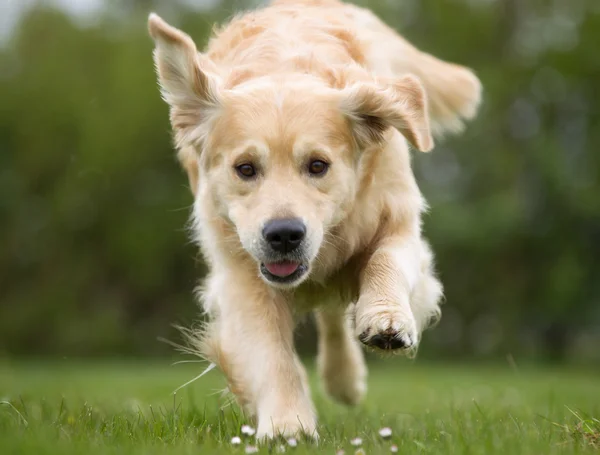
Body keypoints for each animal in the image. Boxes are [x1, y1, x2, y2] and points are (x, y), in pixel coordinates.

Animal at [148, 0, 480, 442]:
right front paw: (287, 424)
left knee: (336, 312)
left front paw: (387, 318)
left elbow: (386, 260)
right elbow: (270, 350)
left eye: (318, 165)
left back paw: (346, 379)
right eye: (245, 168)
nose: (284, 235)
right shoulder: (239, 275)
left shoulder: (401, 221)